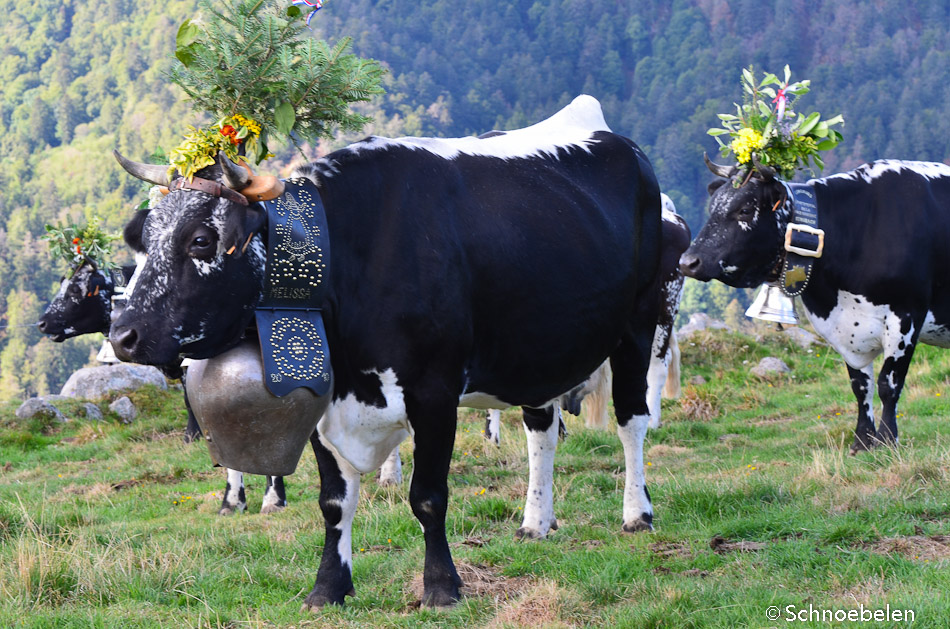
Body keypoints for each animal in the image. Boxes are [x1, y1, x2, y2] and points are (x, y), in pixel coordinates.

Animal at [109, 95, 660, 604]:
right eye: (144, 239)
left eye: (201, 239)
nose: (121, 336)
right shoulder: (321, 390)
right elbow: (334, 502)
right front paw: (328, 588)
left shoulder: (434, 392)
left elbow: (429, 497)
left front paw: (441, 587)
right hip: (537, 348)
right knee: (541, 429)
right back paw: (535, 523)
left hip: (641, 319)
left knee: (631, 418)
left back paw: (638, 513)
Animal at [688, 156, 950, 452]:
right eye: (712, 207)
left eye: (744, 210)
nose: (688, 261)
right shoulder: (846, 329)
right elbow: (860, 386)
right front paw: (862, 441)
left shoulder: (906, 315)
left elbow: (888, 384)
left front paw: (887, 439)